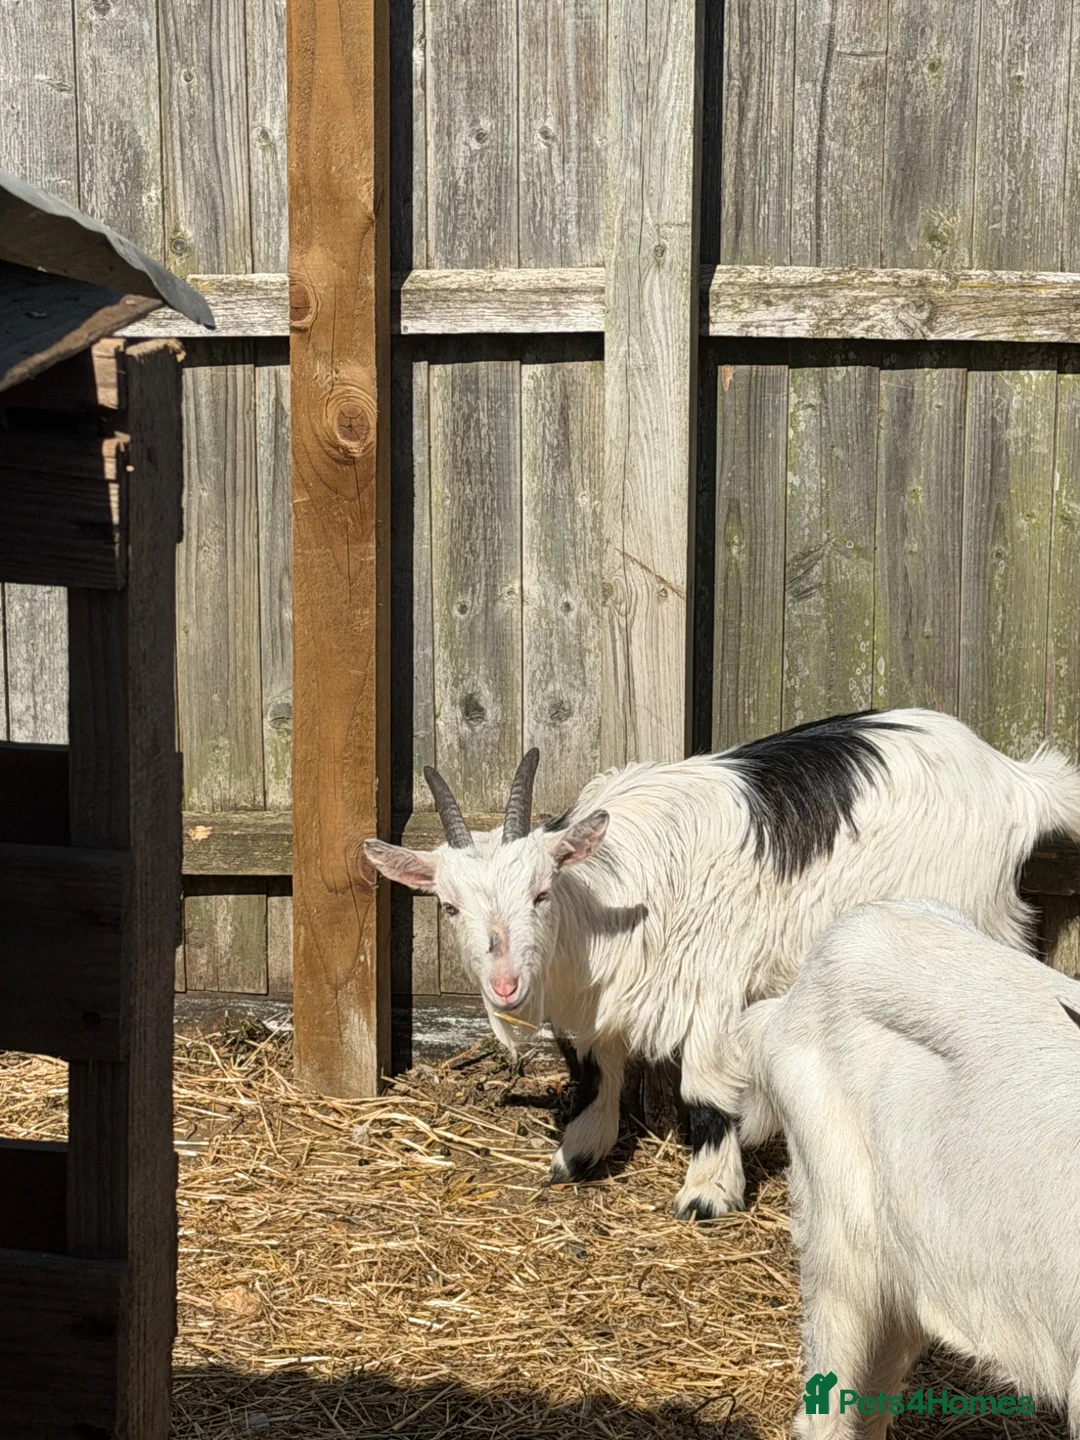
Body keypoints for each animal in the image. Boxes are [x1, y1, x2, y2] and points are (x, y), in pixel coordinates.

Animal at [364, 708, 1080, 1219]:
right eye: (449, 906)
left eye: (541, 893)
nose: (507, 985)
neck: (609, 898)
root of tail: (1017, 781)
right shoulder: (602, 1005)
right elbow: (597, 1074)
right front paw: (578, 1155)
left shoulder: (709, 985)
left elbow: (703, 1093)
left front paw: (707, 1192)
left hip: (971, 918)